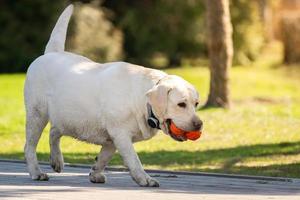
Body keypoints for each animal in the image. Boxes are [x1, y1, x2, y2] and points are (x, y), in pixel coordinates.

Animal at [24, 3, 203, 187]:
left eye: (196, 104)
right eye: (181, 104)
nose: (199, 125)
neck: (142, 102)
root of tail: (50, 53)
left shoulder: (112, 139)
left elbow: (103, 158)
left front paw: (95, 173)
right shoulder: (121, 134)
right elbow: (134, 160)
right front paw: (145, 179)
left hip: (67, 118)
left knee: (54, 131)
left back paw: (56, 161)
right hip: (37, 115)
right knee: (29, 146)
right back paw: (36, 172)